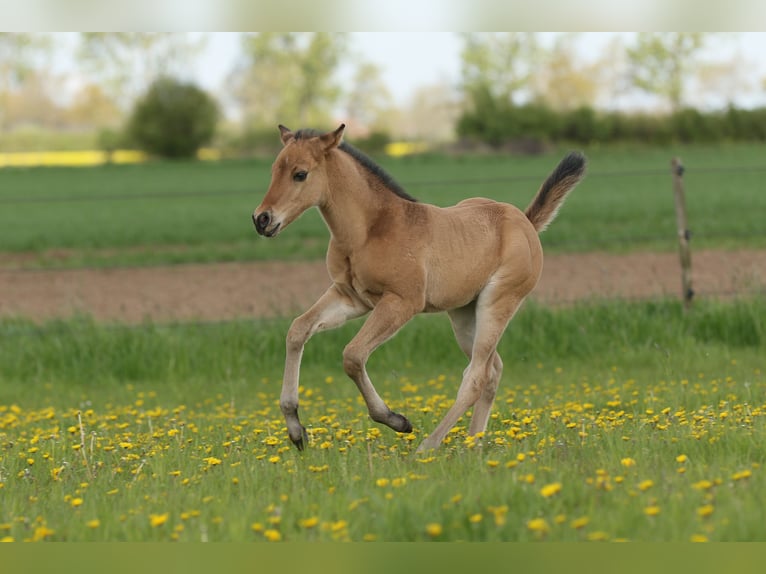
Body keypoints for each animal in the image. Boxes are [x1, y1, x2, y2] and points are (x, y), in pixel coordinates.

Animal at [254, 126, 588, 454]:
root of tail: (526, 222)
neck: (371, 229)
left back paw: (428, 446)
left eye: (300, 174)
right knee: (492, 370)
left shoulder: (402, 303)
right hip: (464, 313)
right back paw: (473, 444)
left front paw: (396, 420)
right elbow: (297, 330)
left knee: (476, 376)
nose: (262, 219)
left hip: (497, 304)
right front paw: (296, 430)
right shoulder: (350, 297)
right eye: (273, 170)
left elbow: (353, 355)